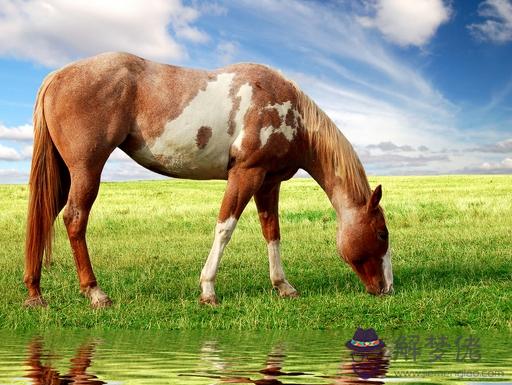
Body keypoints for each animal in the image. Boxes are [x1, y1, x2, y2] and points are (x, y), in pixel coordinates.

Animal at [23, 51, 392, 308]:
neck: (291, 113)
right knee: (74, 219)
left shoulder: (268, 182)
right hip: (86, 169)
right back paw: (95, 293)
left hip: (64, 174)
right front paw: (208, 290)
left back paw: (35, 293)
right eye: (382, 233)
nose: (387, 288)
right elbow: (225, 228)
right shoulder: (246, 174)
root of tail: (57, 75)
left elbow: (272, 233)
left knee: (44, 218)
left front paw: (283, 286)